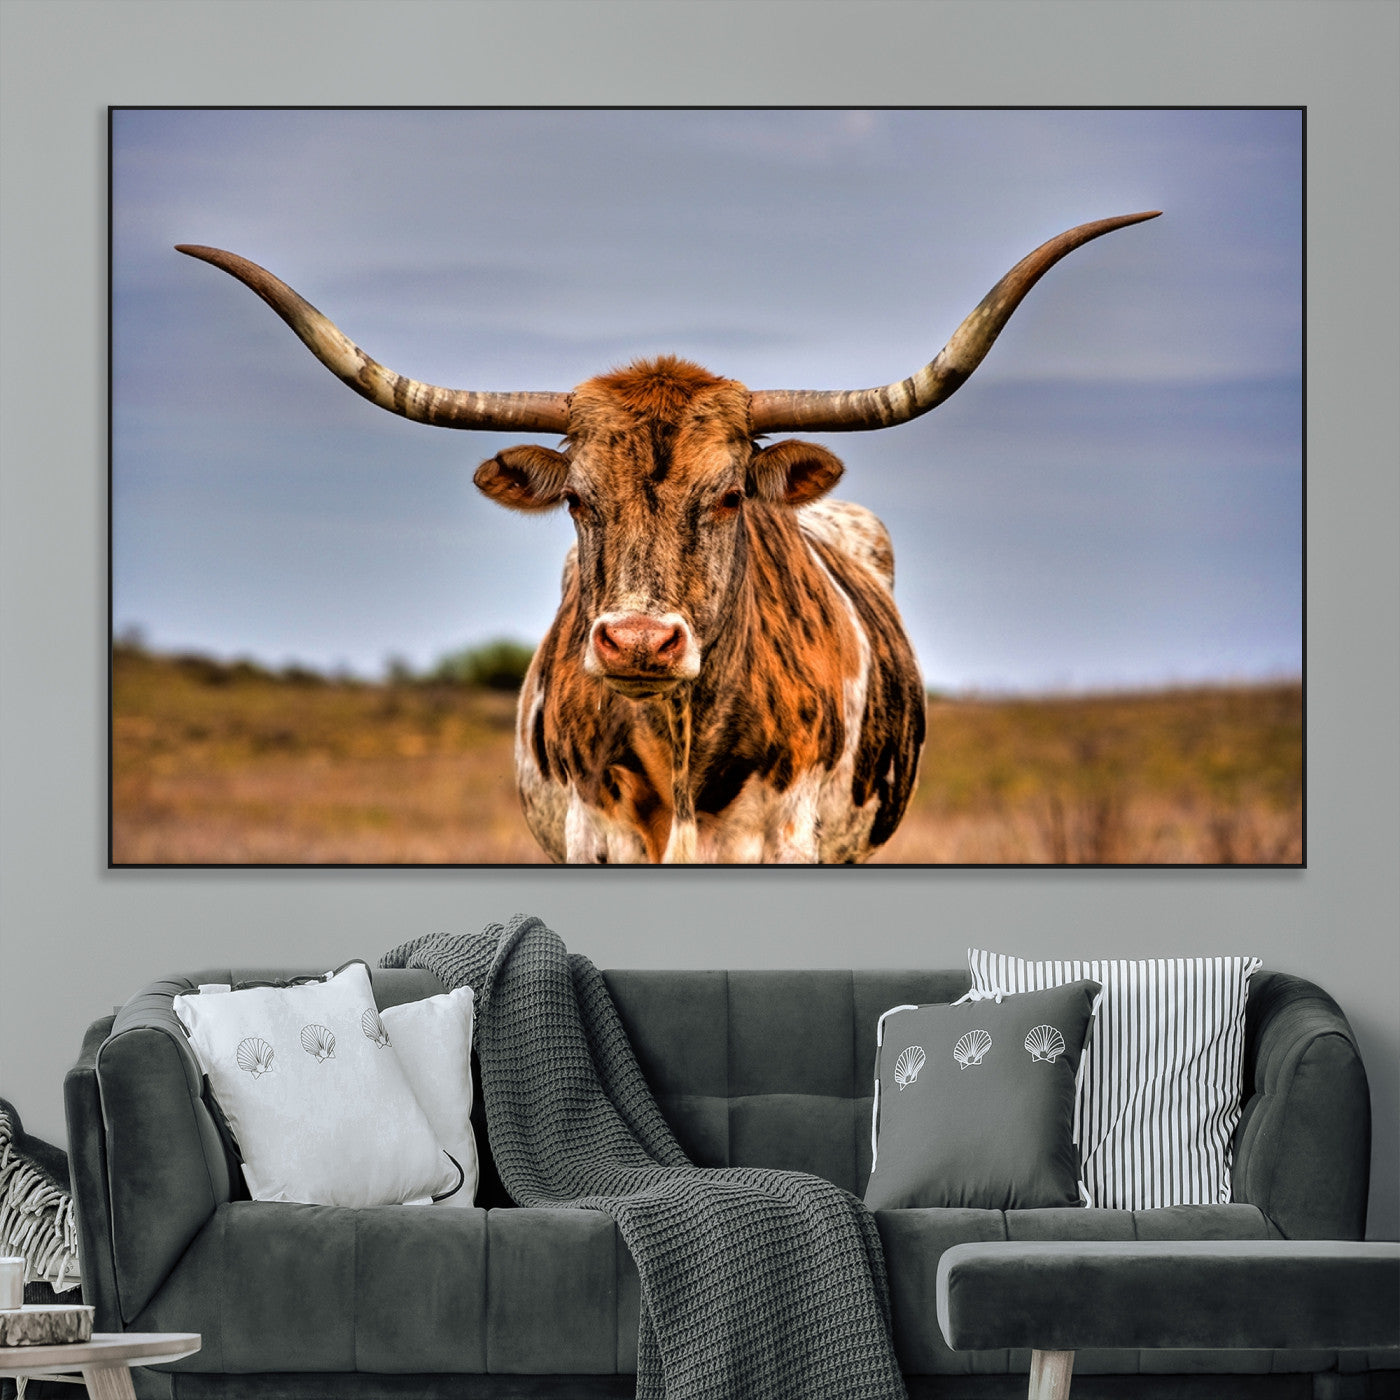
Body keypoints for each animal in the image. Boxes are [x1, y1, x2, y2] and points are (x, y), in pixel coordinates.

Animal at [177, 211, 1159, 863]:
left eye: (727, 496)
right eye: (578, 499)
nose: (641, 642)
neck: (684, 752)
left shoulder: (787, 843)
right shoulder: (596, 838)